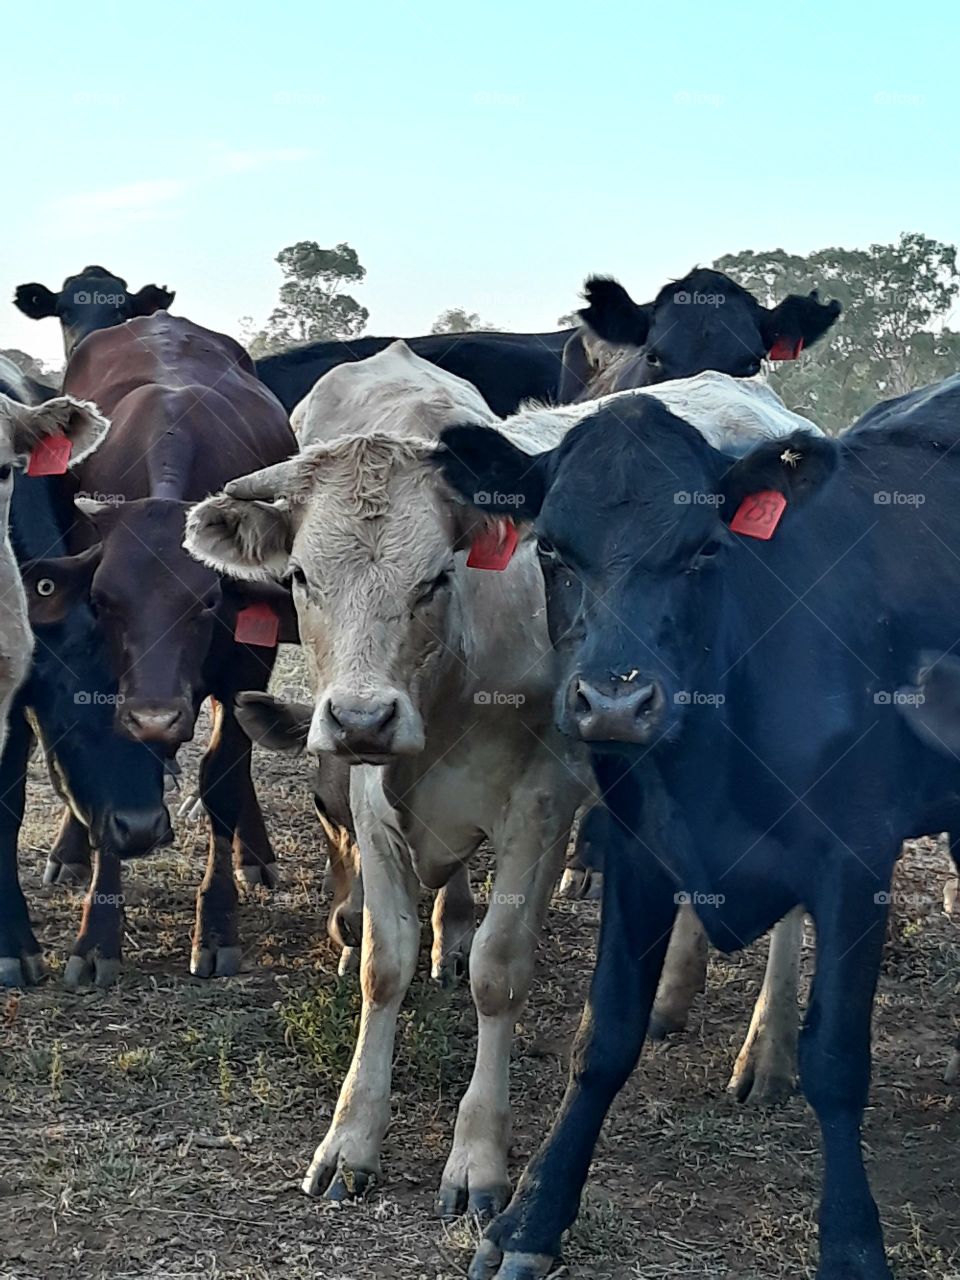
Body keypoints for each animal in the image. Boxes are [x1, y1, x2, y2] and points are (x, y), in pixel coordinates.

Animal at [22, 313, 296, 979]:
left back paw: (255, 854)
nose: (155, 717)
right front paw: (97, 936)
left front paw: (217, 925)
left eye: (208, 601)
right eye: (102, 600)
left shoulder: (247, 661)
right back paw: (69, 851)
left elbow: (223, 774)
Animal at [185, 340, 593, 1217]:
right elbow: (385, 961)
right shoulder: (372, 800)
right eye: (301, 576)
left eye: (437, 576)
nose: (362, 718)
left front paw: (477, 1156)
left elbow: (499, 972)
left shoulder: (542, 803)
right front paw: (351, 1140)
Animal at [434, 374, 960, 1280]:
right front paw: (535, 1218)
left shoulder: (857, 861)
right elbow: (604, 1037)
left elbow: (836, 1061)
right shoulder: (639, 852)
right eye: (552, 551)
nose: (614, 703)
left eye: (706, 550)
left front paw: (853, 1244)